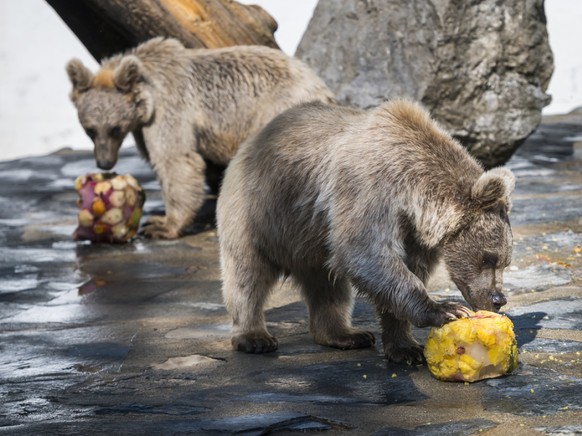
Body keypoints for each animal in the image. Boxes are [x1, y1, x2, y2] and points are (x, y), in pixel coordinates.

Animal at [66, 37, 336, 240]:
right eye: (90, 130)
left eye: (114, 128)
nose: (104, 162)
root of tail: (324, 89)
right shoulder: (142, 127)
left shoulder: (169, 111)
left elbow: (175, 161)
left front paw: (160, 225)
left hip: (278, 114)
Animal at [218, 99, 516, 364]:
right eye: (489, 258)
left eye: (505, 261)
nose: (498, 299)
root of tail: (251, 140)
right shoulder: (370, 189)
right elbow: (366, 253)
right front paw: (447, 310)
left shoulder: (412, 234)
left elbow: (401, 271)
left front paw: (405, 347)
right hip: (258, 212)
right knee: (247, 275)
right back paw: (254, 337)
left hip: (313, 238)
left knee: (328, 286)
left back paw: (346, 334)